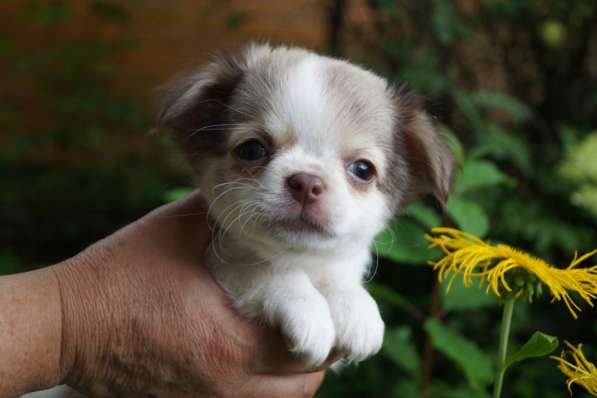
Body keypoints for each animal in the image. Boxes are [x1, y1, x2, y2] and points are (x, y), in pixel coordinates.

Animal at [156, 44, 454, 366]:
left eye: (363, 170)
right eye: (251, 149)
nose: (307, 181)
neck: (302, 260)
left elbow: (338, 276)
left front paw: (355, 306)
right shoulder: (223, 260)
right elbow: (267, 270)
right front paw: (307, 309)